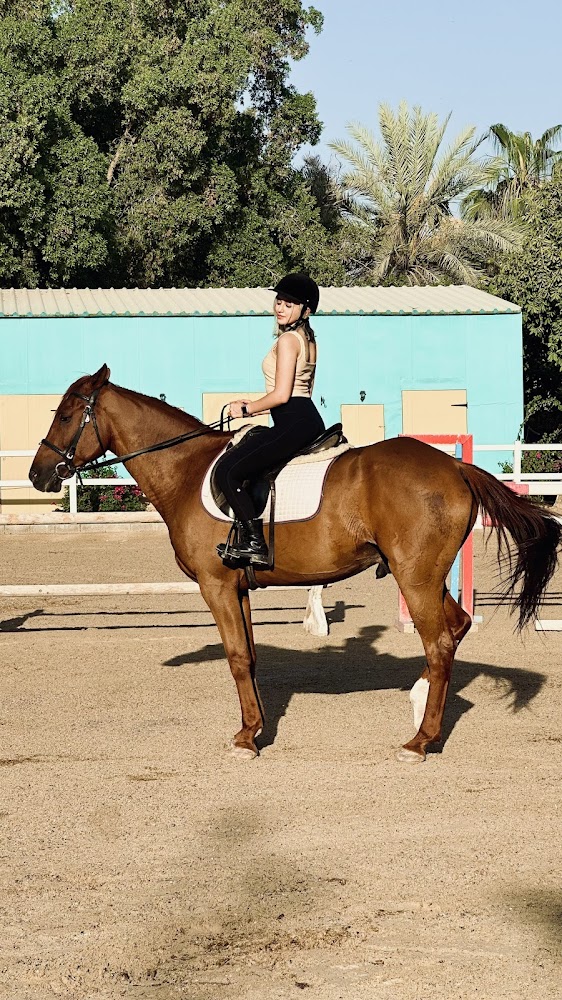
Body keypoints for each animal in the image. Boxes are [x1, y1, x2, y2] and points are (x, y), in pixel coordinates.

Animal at [29, 365, 561, 763]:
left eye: (66, 415)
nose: (38, 476)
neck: (187, 470)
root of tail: (453, 465)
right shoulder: (237, 587)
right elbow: (249, 656)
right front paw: (255, 728)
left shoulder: (215, 586)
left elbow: (236, 657)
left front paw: (246, 740)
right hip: (424, 576)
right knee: (457, 627)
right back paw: (416, 700)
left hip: (416, 578)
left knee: (440, 643)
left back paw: (419, 741)